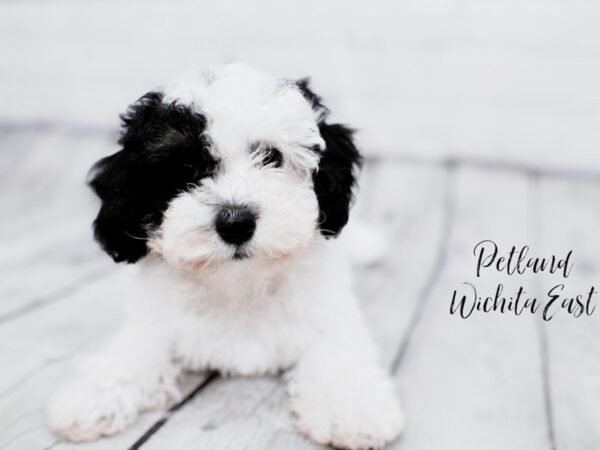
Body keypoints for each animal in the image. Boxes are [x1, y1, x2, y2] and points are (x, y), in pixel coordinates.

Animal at [47, 64, 404, 450]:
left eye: (271, 157)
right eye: (185, 168)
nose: (236, 223)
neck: (239, 282)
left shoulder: (326, 313)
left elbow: (337, 352)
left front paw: (352, 409)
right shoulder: (156, 320)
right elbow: (134, 350)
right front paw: (91, 397)